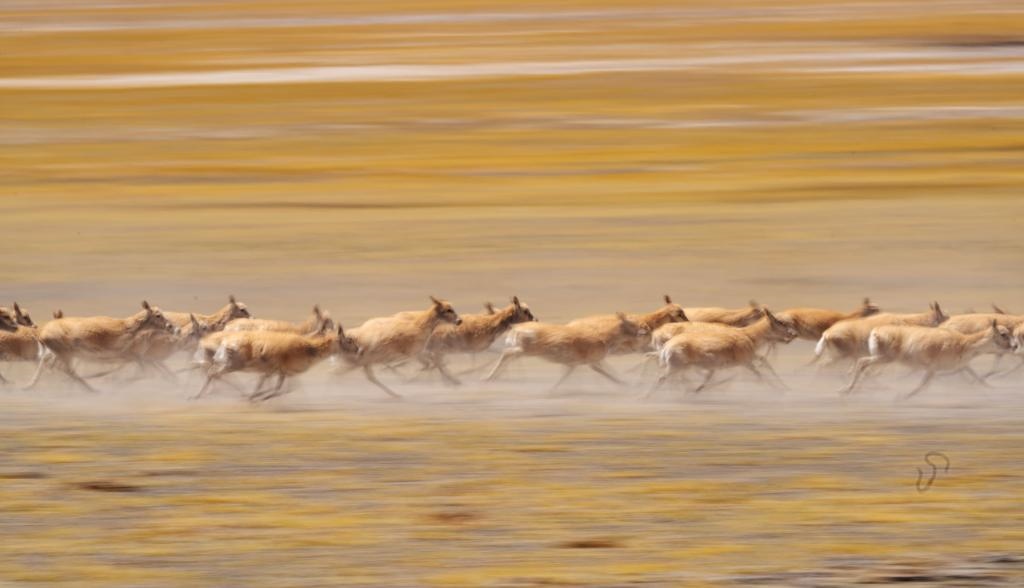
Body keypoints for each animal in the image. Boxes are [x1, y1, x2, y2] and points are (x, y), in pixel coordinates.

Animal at [485, 313, 647, 391]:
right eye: (631, 323)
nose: (644, 330)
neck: (602, 337)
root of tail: (516, 327)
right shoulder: (593, 363)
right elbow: (609, 373)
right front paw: (626, 384)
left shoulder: (574, 364)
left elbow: (564, 377)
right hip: (525, 350)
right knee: (507, 353)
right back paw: (487, 377)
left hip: (522, 351)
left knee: (508, 356)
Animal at [647, 309, 798, 401]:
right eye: (780, 321)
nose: (794, 334)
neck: (748, 335)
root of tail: (666, 344)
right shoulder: (746, 362)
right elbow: (759, 374)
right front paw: (779, 391)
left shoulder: (748, 359)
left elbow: (765, 365)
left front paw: (786, 388)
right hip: (675, 367)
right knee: (663, 378)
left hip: (678, 367)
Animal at [839, 319, 1015, 399]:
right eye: (1003, 334)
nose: (1014, 346)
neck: (964, 343)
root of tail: (875, 331)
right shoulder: (933, 369)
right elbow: (923, 385)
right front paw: (904, 396)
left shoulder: (960, 366)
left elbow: (977, 377)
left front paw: (993, 389)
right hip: (883, 358)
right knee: (862, 363)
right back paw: (847, 389)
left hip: (881, 358)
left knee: (864, 366)